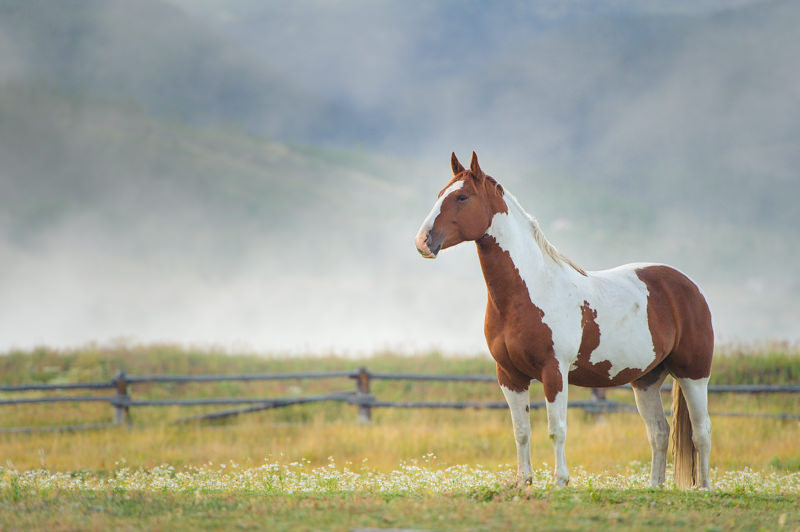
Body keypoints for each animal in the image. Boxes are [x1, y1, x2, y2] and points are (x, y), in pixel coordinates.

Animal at [412, 152, 712, 488]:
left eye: (462, 197)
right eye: (440, 195)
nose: (423, 242)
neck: (530, 289)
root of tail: (689, 287)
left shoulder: (554, 372)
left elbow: (557, 430)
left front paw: (560, 482)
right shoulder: (509, 375)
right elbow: (521, 431)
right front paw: (524, 482)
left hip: (693, 374)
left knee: (701, 433)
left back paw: (704, 488)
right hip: (646, 380)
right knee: (659, 433)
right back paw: (654, 488)